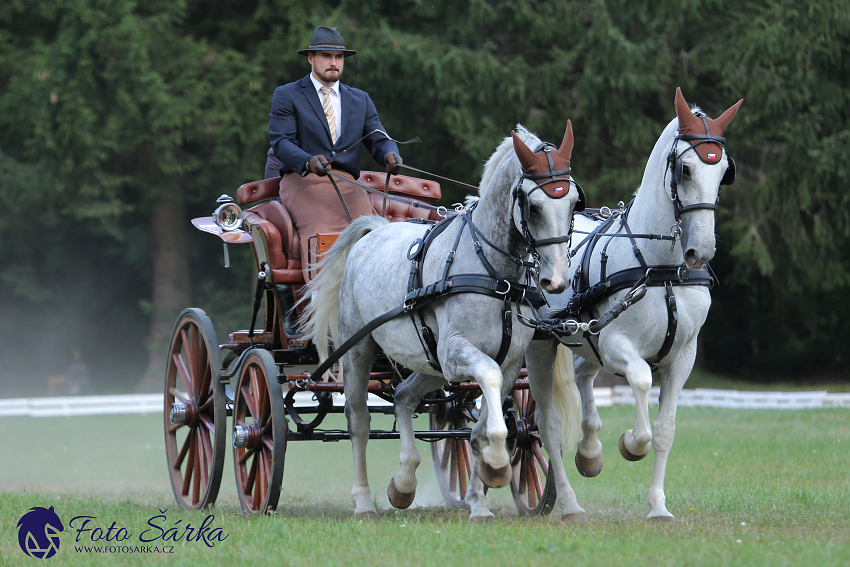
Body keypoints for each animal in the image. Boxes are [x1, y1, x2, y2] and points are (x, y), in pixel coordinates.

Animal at [304, 125, 584, 524]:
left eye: (574, 202)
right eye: (533, 206)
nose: (556, 281)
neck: (495, 274)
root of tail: (377, 229)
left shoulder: (509, 363)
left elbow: (481, 427)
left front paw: (479, 498)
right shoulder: (456, 353)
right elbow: (489, 388)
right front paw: (497, 462)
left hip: (429, 365)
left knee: (404, 398)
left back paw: (403, 483)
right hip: (358, 350)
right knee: (358, 420)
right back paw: (363, 501)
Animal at [528, 86, 740, 520]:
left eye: (724, 170)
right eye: (685, 170)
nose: (701, 250)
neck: (661, 268)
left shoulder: (683, 357)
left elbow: (664, 431)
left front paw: (657, 505)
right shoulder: (616, 344)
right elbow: (641, 382)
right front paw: (630, 443)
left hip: (584, 339)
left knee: (582, 376)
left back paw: (589, 453)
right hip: (541, 346)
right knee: (546, 424)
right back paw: (569, 499)